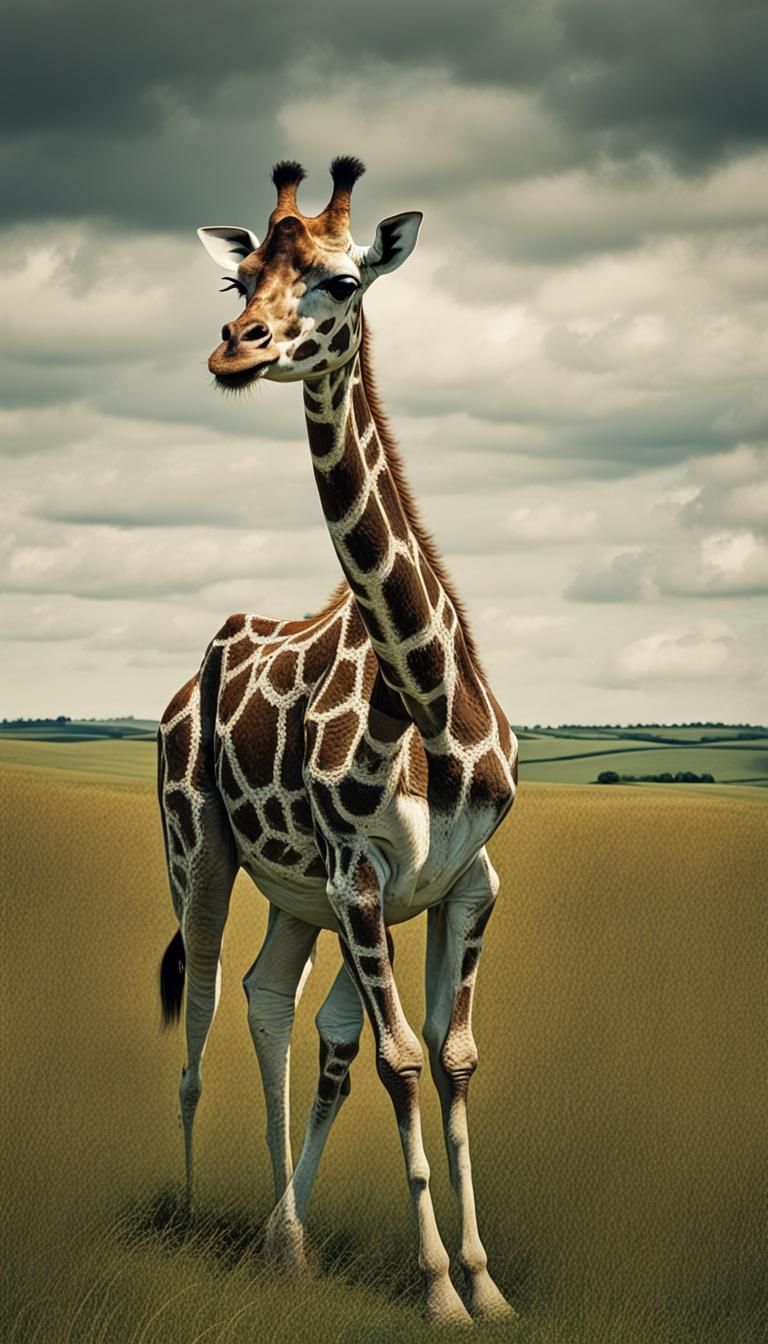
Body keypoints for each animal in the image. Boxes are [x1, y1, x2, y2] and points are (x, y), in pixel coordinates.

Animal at [157, 157, 518, 1325]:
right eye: (240, 283)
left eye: (346, 279)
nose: (238, 349)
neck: (433, 710)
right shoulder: (362, 877)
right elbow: (399, 1061)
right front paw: (440, 1289)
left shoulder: (466, 881)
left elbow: (448, 1057)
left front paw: (487, 1284)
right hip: (201, 853)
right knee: (204, 1012)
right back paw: (194, 1214)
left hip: (295, 896)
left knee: (274, 1006)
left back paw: (288, 1237)